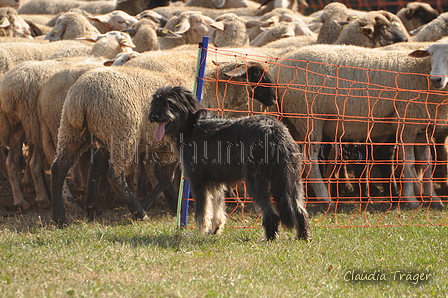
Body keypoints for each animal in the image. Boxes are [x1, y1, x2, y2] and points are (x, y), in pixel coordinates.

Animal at [149, 85, 310, 240]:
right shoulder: (214, 182)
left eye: (169, 103)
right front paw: (214, 229)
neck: (191, 125)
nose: (153, 116)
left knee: (271, 213)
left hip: (257, 179)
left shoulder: (198, 181)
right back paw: (302, 236)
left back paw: (269, 238)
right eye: (156, 101)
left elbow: (202, 211)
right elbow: (216, 207)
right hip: (291, 179)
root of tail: (274, 130)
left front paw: (199, 232)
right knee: (300, 210)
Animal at [270, 43, 448, 210]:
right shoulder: (407, 122)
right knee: (310, 160)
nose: (436, 80)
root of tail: (278, 67)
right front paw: (412, 200)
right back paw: (326, 200)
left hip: (292, 120)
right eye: (430, 54)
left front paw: (434, 199)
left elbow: (427, 164)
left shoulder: (424, 128)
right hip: (310, 118)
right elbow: (409, 163)